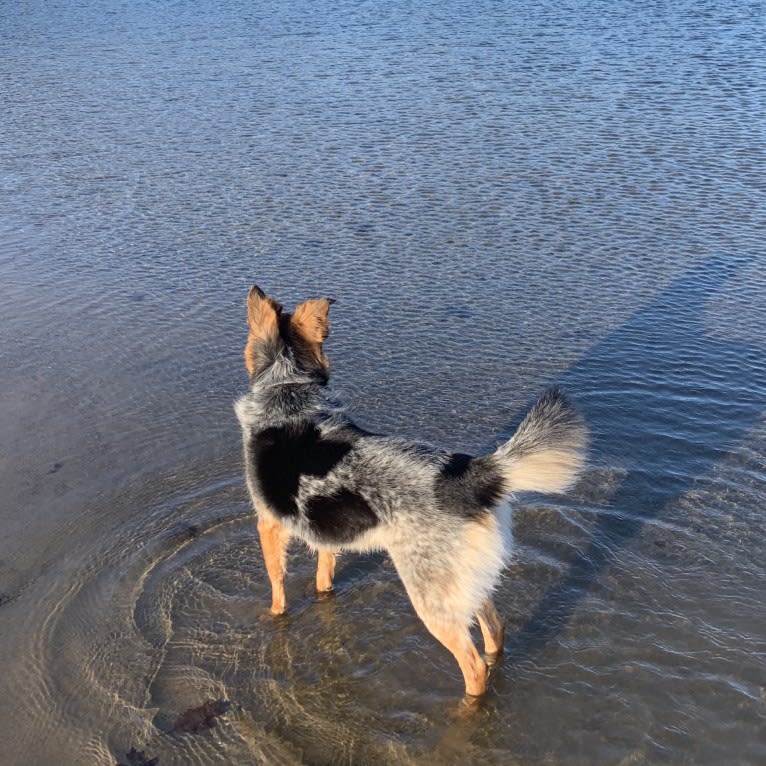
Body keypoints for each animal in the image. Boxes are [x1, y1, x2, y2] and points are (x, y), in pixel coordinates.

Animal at [234, 284, 588, 700]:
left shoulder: (268, 525)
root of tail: (477, 474)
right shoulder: (325, 530)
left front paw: (275, 614)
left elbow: (277, 583)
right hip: (466, 582)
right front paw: (323, 595)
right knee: (495, 630)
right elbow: (324, 572)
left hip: (429, 597)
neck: (287, 390)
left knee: (473, 666)